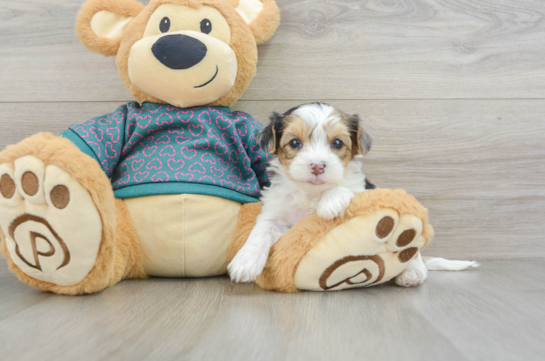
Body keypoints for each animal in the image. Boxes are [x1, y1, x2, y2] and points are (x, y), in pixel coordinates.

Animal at [227, 102, 376, 282]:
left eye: (337, 143)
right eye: (295, 143)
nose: (317, 166)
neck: (311, 192)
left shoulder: (362, 188)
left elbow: (348, 184)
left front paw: (330, 203)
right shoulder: (276, 209)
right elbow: (263, 227)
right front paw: (245, 262)